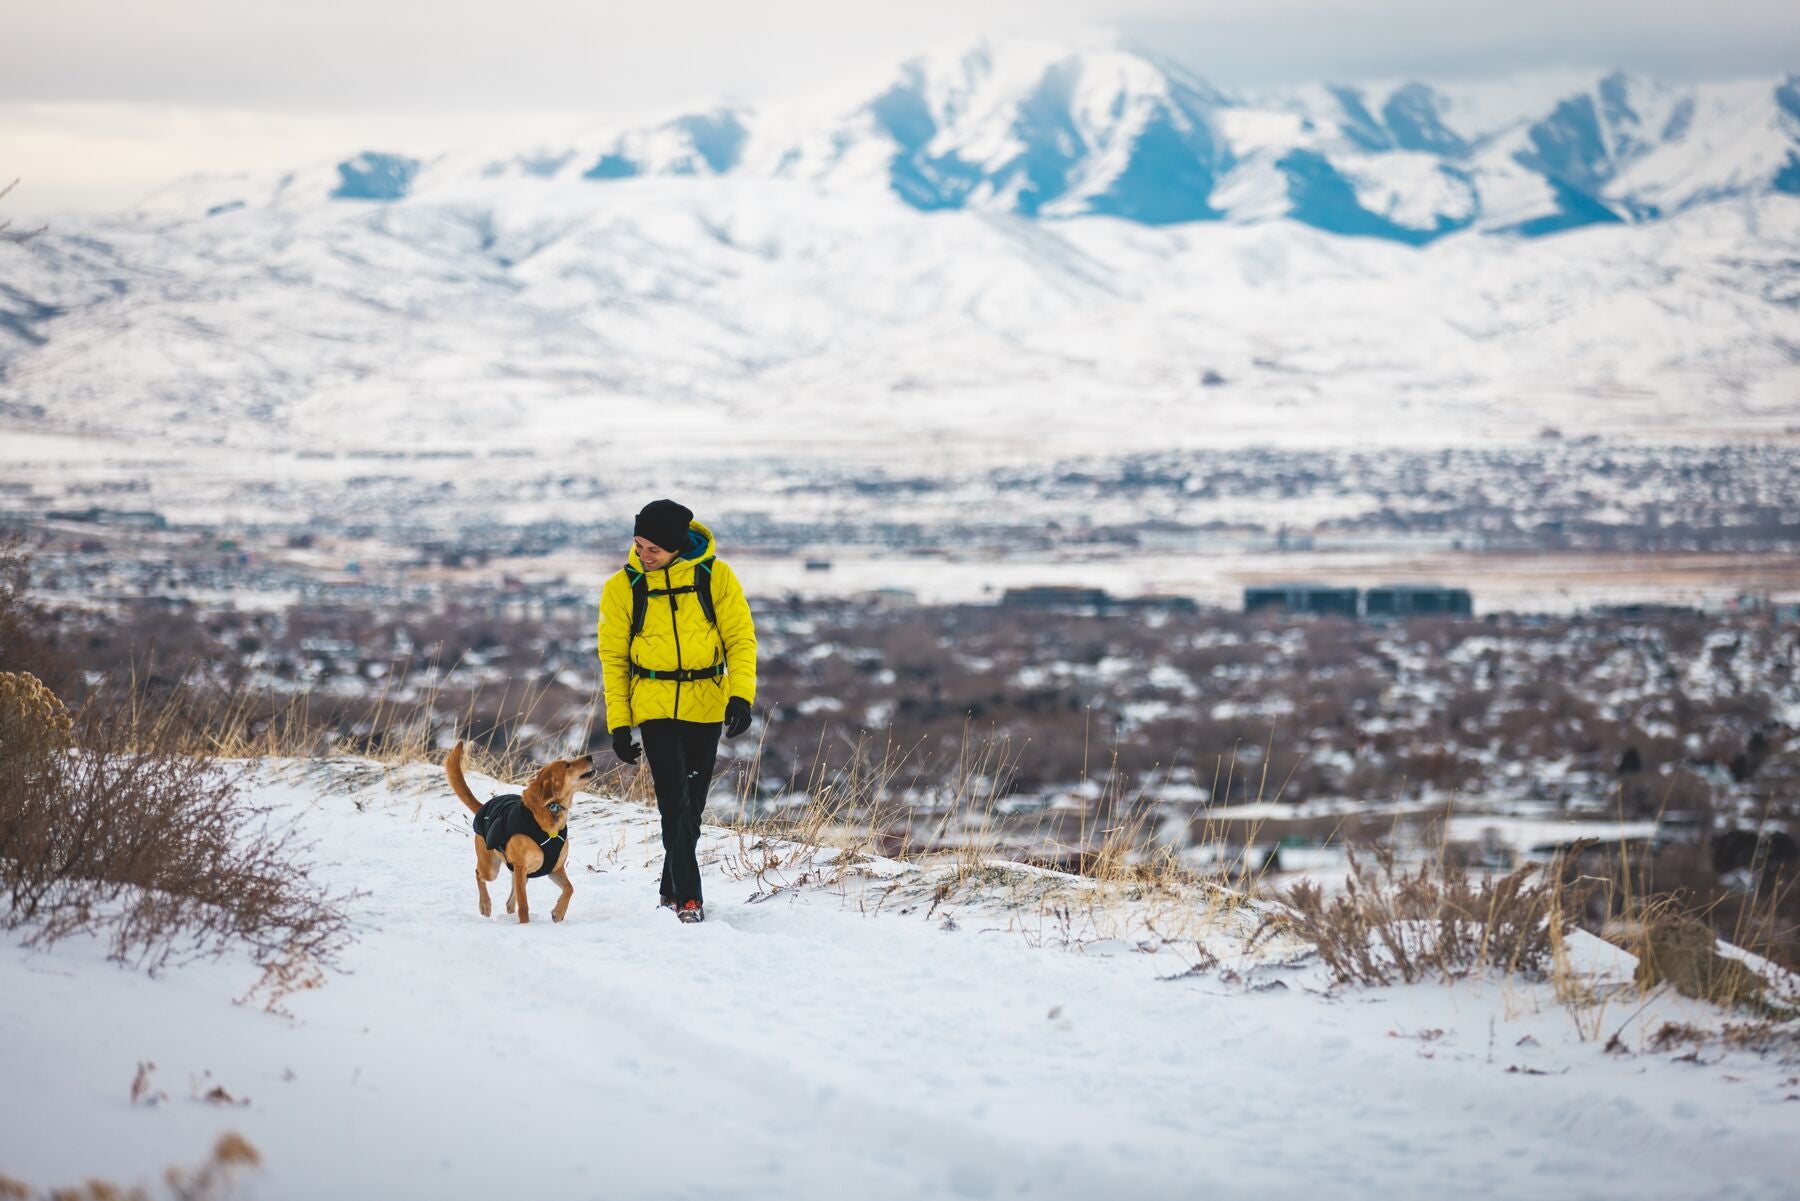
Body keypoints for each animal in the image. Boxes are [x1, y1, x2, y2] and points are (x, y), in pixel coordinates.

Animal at [446, 738, 594, 929]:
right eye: (567, 765)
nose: (590, 756)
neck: (550, 813)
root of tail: (483, 806)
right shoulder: (521, 867)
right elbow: (524, 905)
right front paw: (525, 925)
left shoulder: (555, 868)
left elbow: (570, 888)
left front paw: (558, 912)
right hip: (492, 868)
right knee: (479, 874)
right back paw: (485, 905)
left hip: (519, 874)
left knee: (510, 902)